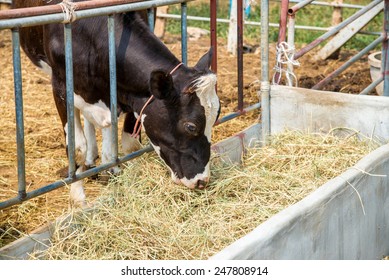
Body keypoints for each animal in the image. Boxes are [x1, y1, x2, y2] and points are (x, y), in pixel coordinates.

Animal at [13, 0, 220, 206]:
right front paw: (78, 197)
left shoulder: (132, 93)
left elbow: (130, 144)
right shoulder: (61, 87)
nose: (202, 181)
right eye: (191, 126)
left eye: (216, 116)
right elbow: (77, 147)